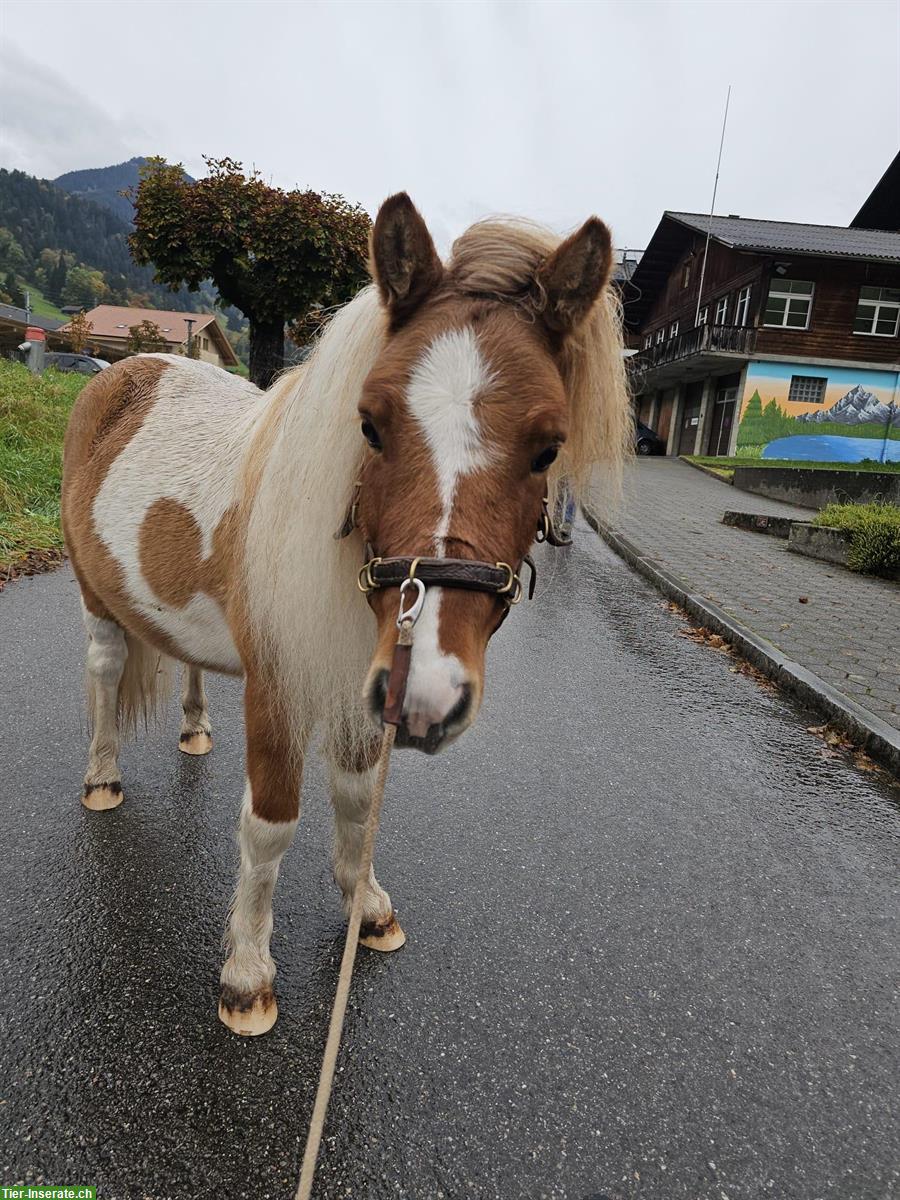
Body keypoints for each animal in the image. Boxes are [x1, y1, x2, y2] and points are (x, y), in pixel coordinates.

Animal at [60, 194, 628, 1032]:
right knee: (103, 669)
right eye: (370, 424)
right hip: (95, 597)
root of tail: (122, 371)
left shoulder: (367, 685)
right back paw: (101, 777)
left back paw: (195, 728)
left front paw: (367, 907)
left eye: (549, 447)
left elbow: (358, 804)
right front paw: (247, 973)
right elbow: (270, 825)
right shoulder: (279, 687)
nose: (429, 693)